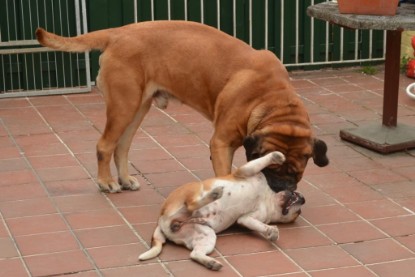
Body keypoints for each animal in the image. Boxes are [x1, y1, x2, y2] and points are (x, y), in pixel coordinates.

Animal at [35, 21, 328, 192]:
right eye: (269, 170)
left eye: (297, 174)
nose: (282, 188)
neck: (271, 99)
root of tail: (118, 32)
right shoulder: (221, 143)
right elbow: (225, 173)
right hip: (123, 105)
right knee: (105, 145)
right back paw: (106, 182)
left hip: (137, 108)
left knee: (121, 146)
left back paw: (125, 179)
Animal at [140, 151, 306, 270]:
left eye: (298, 213)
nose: (303, 199)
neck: (267, 199)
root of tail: (161, 220)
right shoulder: (245, 171)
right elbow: (261, 162)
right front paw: (276, 156)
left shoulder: (247, 219)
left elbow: (259, 225)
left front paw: (271, 232)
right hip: (194, 189)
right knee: (191, 205)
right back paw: (214, 194)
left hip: (206, 234)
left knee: (194, 254)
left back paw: (210, 263)